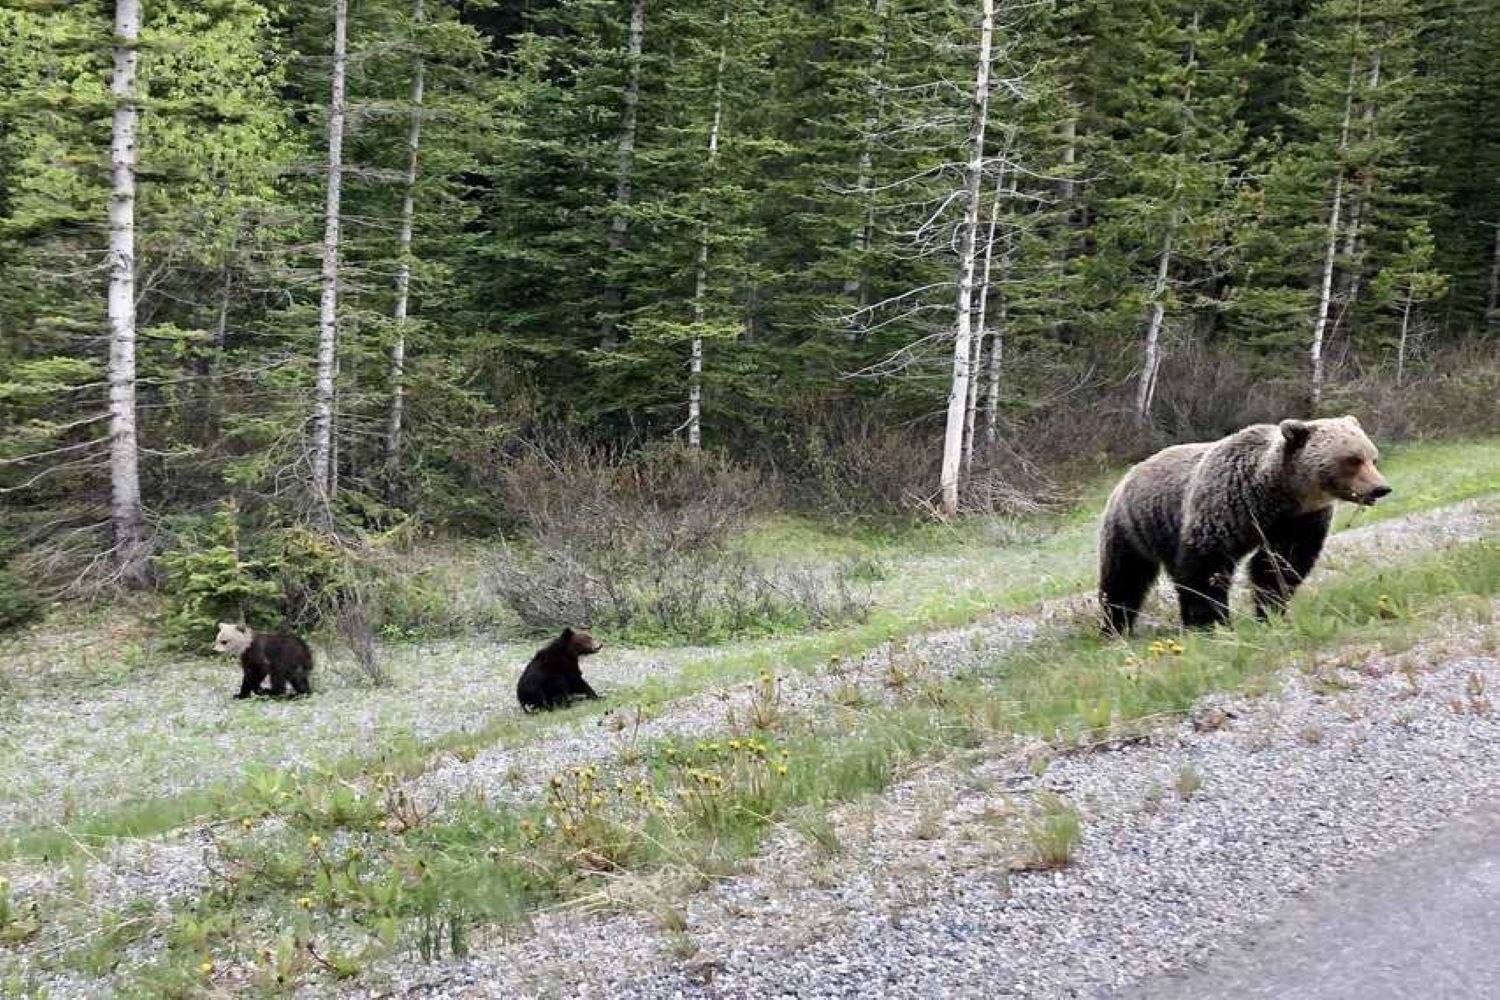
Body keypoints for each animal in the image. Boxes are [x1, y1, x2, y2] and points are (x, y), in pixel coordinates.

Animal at [1098, 415, 1390, 634]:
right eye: (1352, 459)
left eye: (1372, 457)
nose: (1380, 488)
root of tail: (1130, 473)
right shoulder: (1225, 505)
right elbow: (1207, 568)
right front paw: (1212, 622)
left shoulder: (1300, 521)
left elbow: (1279, 566)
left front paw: (1270, 612)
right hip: (1134, 525)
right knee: (1124, 578)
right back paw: (1115, 626)